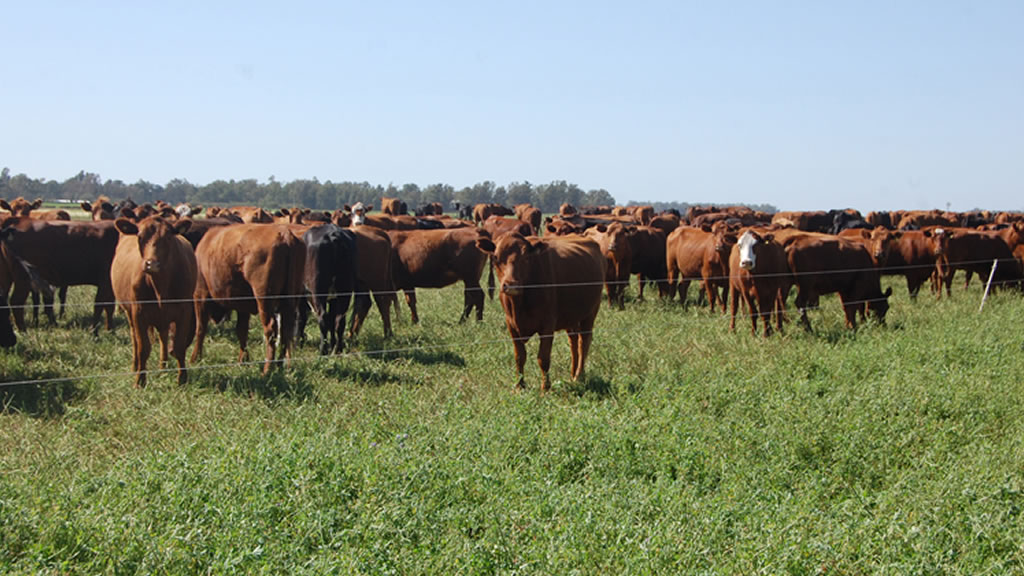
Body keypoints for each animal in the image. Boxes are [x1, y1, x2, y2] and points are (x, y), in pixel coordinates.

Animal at [111, 215, 196, 385]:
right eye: (140, 237)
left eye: (168, 237)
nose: (152, 264)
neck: (160, 287)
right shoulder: (138, 313)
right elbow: (143, 348)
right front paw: (140, 381)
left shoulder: (184, 311)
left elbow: (179, 347)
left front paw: (182, 379)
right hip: (130, 314)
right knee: (135, 339)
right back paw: (135, 366)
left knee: (163, 336)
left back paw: (163, 366)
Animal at [191, 219, 303, 373]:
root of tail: (284, 234)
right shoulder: (242, 306)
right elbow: (241, 330)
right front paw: (243, 360)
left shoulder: (200, 294)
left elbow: (200, 328)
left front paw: (195, 358)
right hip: (289, 301)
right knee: (286, 330)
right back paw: (280, 365)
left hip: (264, 299)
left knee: (271, 329)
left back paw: (267, 369)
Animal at [301, 224, 358, 354]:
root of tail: (334, 235)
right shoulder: (334, 298)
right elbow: (332, 320)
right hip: (345, 290)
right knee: (339, 320)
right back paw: (338, 349)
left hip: (318, 291)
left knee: (323, 318)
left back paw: (323, 350)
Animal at [473, 233, 602, 389]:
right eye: (496, 257)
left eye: (526, 257)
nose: (512, 285)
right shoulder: (511, 324)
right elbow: (519, 356)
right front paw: (519, 386)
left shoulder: (547, 325)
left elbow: (543, 358)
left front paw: (545, 388)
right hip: (571, 318)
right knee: (574, 341)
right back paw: (572, 374)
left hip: (591, 312)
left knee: (584, 342)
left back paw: (579, 376)